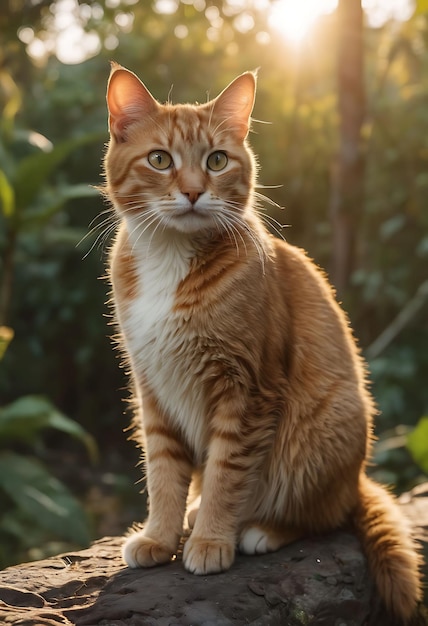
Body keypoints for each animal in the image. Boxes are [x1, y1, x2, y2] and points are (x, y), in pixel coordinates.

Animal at [103, 63, 422, 620]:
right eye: (160, 159)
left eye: (216, 160)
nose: (192, 192)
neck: (170, 257)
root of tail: (356, 477)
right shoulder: (153, 387)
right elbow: (164, 472)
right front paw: (161, 536)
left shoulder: (248, 388)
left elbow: (227, 473)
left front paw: (212, 540)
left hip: (320, 430)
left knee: (323, 515)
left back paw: (260, 530)